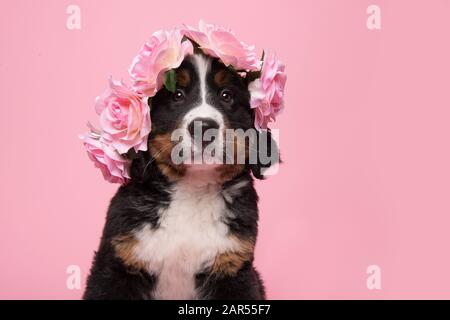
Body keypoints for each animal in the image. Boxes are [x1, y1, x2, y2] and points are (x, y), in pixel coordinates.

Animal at [83, 52, 278, 300]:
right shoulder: (117, 265)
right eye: (177, 95)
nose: (204, 126)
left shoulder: (232, 267)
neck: (193, 190)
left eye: (227, 95)